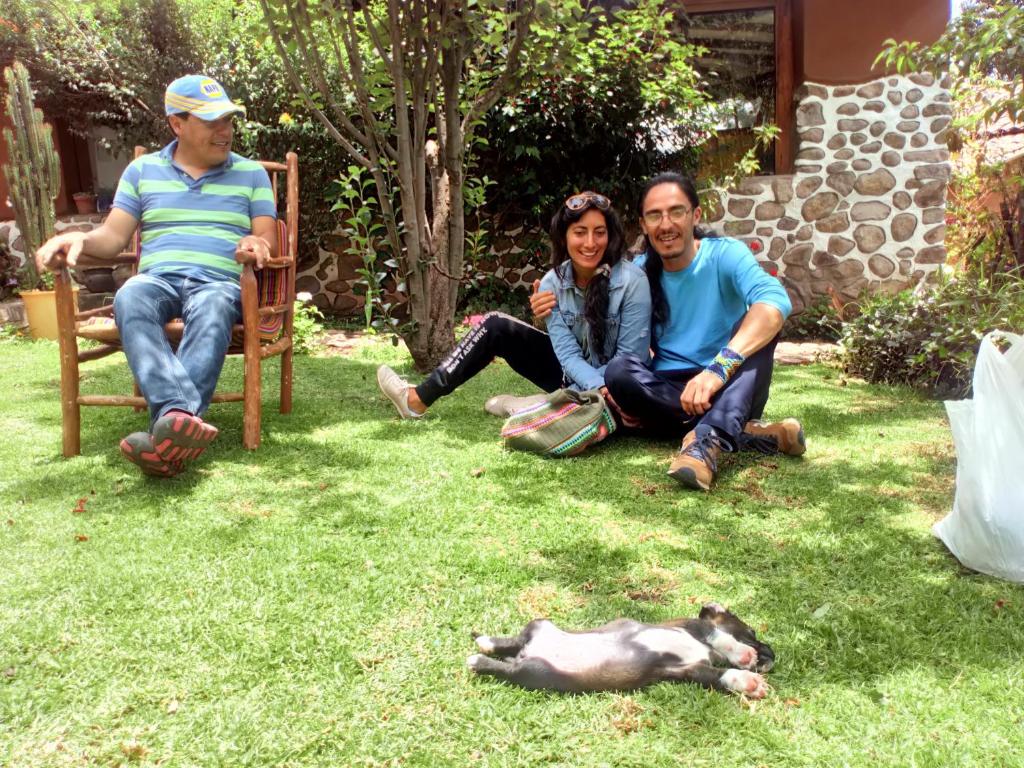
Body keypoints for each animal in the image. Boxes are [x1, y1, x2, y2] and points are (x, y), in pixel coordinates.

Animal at [467, 603, 774, 698]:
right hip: (534, 671)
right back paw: (479, 658)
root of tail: (527, 652)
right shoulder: (693, 626)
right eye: (752, 633)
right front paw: (744, 655)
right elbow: (719, 635)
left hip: (536, 656)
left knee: (513, 646)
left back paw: (486, 643)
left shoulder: (689, 670)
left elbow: (718, 676)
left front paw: (745, 682)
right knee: (505, 667)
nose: (772, 654)